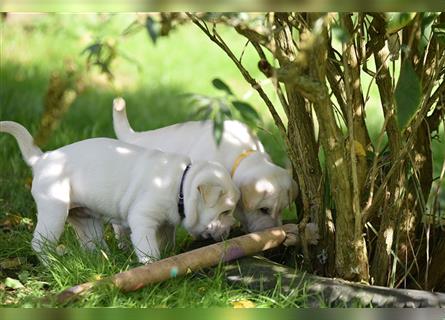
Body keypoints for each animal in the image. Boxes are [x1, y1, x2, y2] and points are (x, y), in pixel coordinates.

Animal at [0, 121, 239, 264]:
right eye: (225, 211)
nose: (232, 229)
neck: (181, 184)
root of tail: (42, 158)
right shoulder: (143, 219)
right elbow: (148, 247)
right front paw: (152, 265)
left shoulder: (166, 223)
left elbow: (166, 240)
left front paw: (168, 258)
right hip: (54, 210)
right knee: (39, 243)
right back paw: (52, 263)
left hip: (86, 220)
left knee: (91, 242)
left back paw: (101, 260)